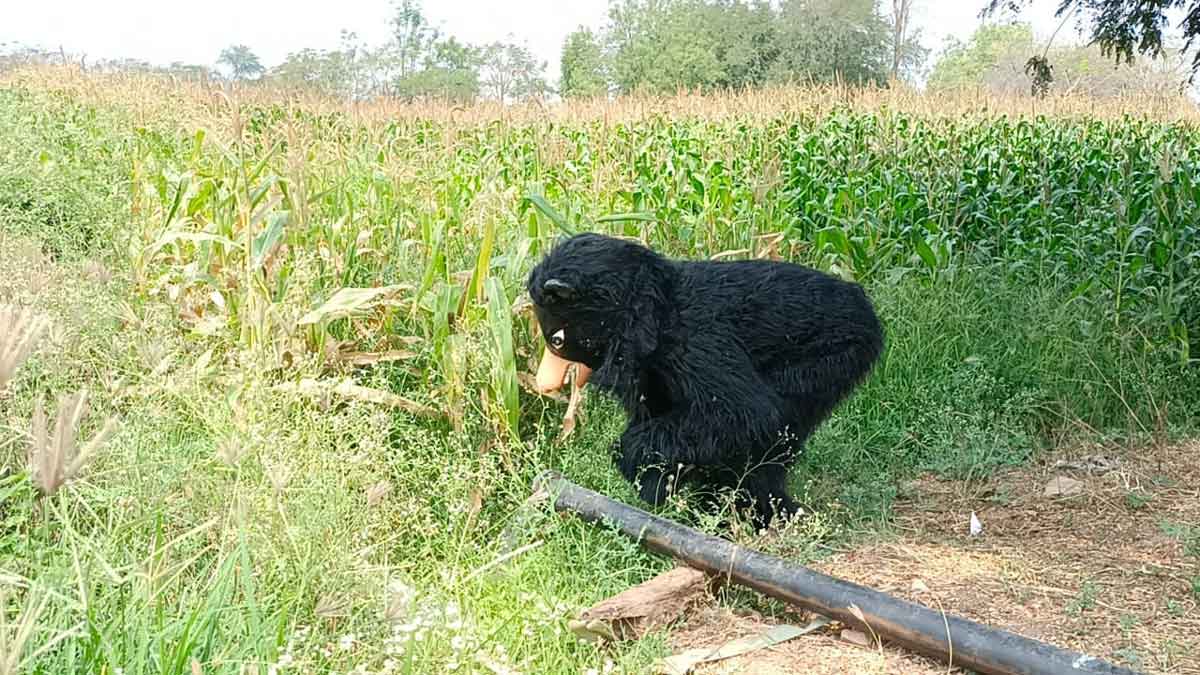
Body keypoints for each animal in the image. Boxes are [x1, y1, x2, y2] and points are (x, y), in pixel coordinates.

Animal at [527, 232, 884, 528]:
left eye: (556, 341)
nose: (545, 384)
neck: (644, 310)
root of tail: (861, 301)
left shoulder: (695, 341)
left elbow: (745, 411)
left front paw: (640, 468)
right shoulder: (651, 368)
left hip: (828, 357)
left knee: (776, 429)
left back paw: (764, 512)